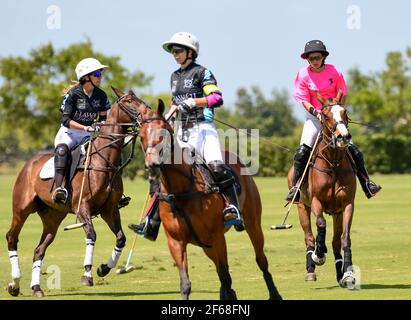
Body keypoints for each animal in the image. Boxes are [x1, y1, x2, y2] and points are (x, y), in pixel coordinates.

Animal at [5, 87, 148, 298]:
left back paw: (36, 287)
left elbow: (121, 238)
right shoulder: (82, 208)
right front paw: (87, 274)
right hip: (21, 209)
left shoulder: (110, 209)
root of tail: (29, 164)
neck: (104, 162)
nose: (147, 115)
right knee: (11, 237)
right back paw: (14, 284)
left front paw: (104, 268)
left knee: (39, 250)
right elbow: (92, 235)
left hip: (53, 217)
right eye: (129, 101)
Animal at [136, 100, 284, 300]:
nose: (152, 165)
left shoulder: (217, 237)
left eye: (163, 132)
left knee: (260, 259)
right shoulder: (176, 241)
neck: (182, 190)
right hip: (206, 244)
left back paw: (274, 293)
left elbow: (225, 276)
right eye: (141, 135)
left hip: (252, 224)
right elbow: (186, 284)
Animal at [290, 94, 358, 288]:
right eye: (326, 115)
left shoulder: (347, 204)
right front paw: (319, 254)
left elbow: (345, 237)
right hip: (301, 207)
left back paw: (339, 273)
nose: (343, 137)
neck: (333, 163)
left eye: (345, 112)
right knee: (309, 237)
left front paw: (348, 273)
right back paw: (311, 269)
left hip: (336, 213)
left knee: (335, 241)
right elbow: (320, 224)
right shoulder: (316, 201)